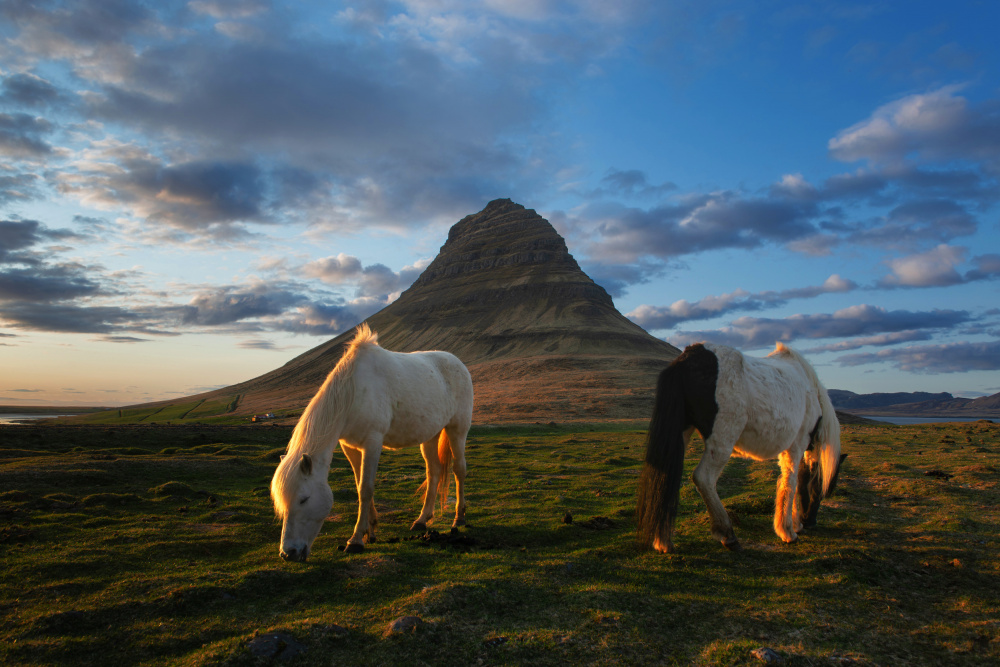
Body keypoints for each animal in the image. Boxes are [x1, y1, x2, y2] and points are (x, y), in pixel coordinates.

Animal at [270, 326, 472, 560]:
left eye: (304, 499)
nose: (288, 553)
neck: (353, 392)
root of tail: (458, 363)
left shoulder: (373, 443)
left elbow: (365, 489)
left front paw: (356, 540)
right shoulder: (350, 447)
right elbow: (360, 485)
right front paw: (370, 530)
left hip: (457, 429)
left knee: (459, 470)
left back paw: (459, 518)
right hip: (430, 435)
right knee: (434, 472)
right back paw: (422, 520)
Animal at [636, 342, 840, 556]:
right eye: (823, 489)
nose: (811, 522)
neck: (813, 391)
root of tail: (689, 356)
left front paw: (793, 525)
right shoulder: (797, 444)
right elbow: (792, 482)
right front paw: (788, 531)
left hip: (681, 434)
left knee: (667, 476)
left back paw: (663, 541)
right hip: (722, 443)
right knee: (704, 478)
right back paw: (728, 535)